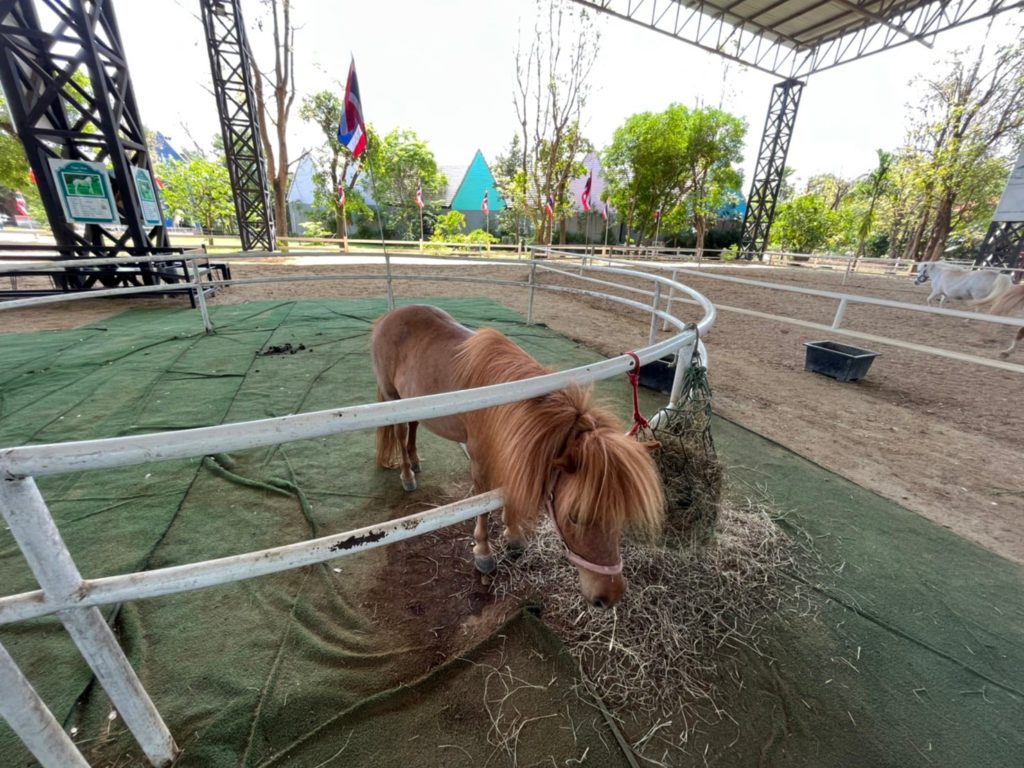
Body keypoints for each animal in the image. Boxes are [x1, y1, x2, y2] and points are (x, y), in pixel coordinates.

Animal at [368, 303, 663, 610]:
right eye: (574, 516)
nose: (609, 596)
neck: (498, 402)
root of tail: (389, 316)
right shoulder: (481, 461)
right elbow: (483, 504)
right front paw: (484, 553)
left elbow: (506, 493)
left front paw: (514, 536)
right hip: (393, 399)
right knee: (400, 433)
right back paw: (407, 475)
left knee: (413, 427)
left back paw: (415, 461)